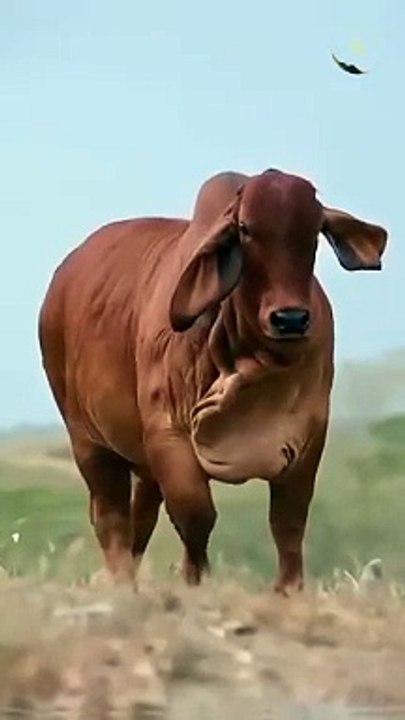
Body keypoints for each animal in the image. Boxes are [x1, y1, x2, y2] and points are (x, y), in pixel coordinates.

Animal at [38, 168, 387, 595]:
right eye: (245, 229)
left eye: (314, 229)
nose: (290, 318)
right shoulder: (168, 433)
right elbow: (196, 515)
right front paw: (195, 579)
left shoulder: (308, 435)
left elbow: (288, 523)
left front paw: (288, 589)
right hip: (87, 439)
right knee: (111, 516)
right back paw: (121, 581)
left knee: (141, 516)